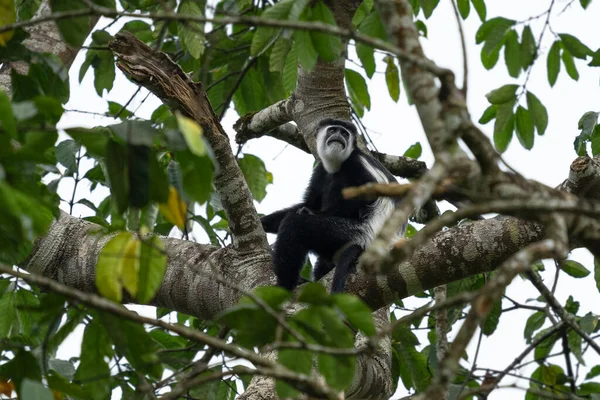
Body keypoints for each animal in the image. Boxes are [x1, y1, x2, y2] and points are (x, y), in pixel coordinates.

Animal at [260, 117, 406, 292]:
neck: (337, 164)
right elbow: (309, 202)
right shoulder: (320, 170)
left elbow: (368, 195)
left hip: (355, 232)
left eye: (344, 133)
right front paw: (264, 222)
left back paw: (284, 286)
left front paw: (312, 213)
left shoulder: (356, 163)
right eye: (332, 130)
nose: (338, 136)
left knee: (296, 225)